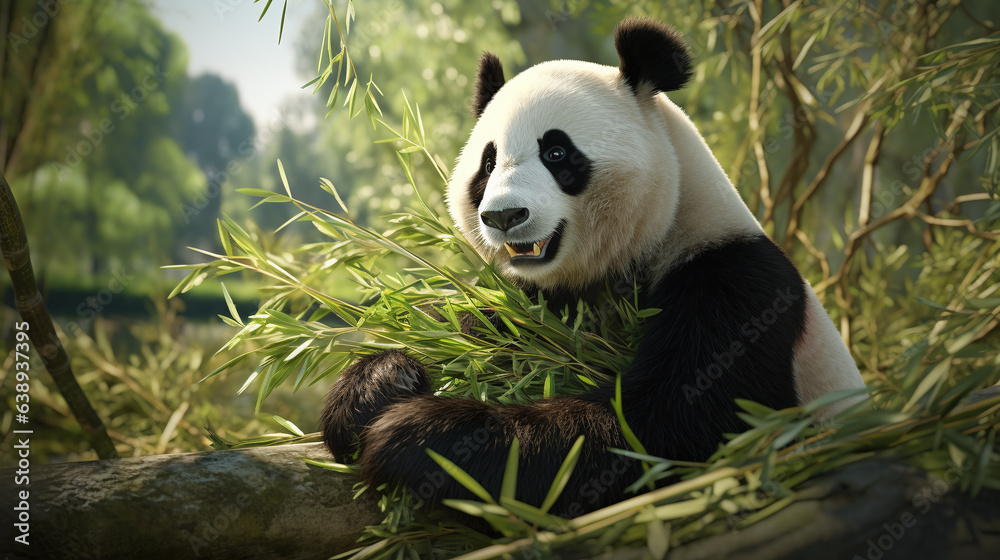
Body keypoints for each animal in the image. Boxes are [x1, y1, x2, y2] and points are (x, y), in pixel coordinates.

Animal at [320, 17, 866, 517]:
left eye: (557, 151)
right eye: (488, 164)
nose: (503, 216)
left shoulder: (732, 284)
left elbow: (660, 429)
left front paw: (416, 435)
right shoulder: (537, 301)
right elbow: (476, 327)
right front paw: (378, 386)